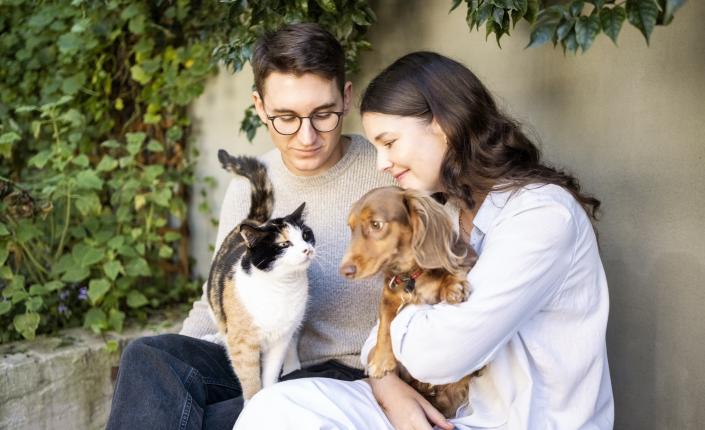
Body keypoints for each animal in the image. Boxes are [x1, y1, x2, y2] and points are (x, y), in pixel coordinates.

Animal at [204, 149, 314, 400]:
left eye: (305, 235)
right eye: (284, 244)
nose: (307, 249)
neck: (282, 287)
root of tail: (253, 221)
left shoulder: (280, 340)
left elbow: (270, 374)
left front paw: (269, 394)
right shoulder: (243, 345)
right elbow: (251, 380)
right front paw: (253, 401)